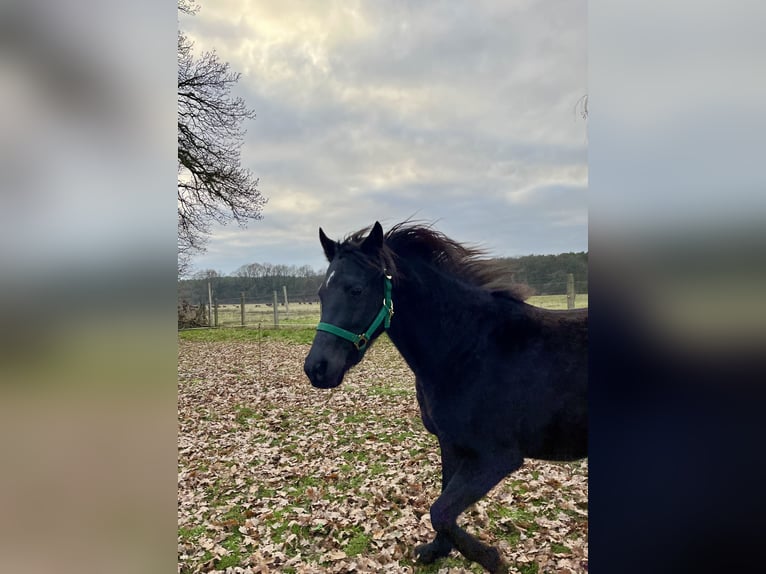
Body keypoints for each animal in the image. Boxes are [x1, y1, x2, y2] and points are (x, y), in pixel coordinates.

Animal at [304, 223, 588, 572]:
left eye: (355, 290)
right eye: (321, 294)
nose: (317, 369)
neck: (468, 348)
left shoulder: (497, 458)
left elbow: (440, 511)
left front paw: (492, 559)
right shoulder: (452, 444)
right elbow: (443, 503)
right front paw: (436, 551)